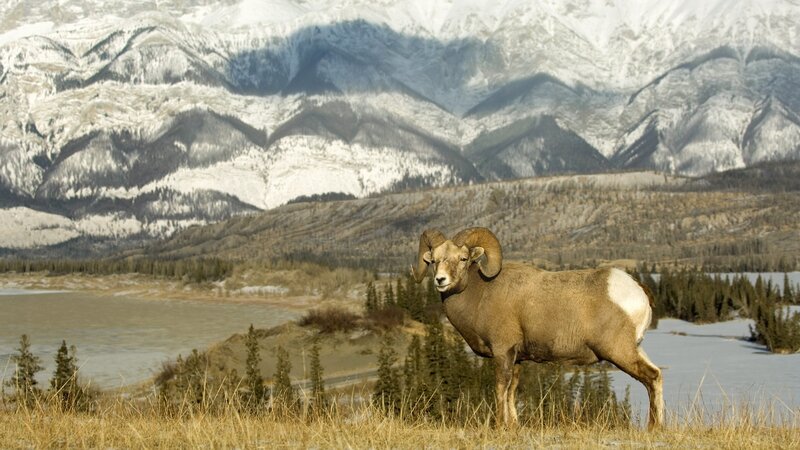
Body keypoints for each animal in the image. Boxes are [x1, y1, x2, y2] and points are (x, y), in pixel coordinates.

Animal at [411, 227, 664, 429]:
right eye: (433, 260)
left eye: (463, 258)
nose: (441, 280)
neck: (481, 294)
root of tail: (638, 290)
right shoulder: (517, 359)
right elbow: (512, 391)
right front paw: (513, 426)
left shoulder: (503, 352)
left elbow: (501, 389)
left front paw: (499, 426)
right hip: (635, 348)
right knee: (657, 375)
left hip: (618, 351)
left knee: (651, 377)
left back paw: (652, 428)